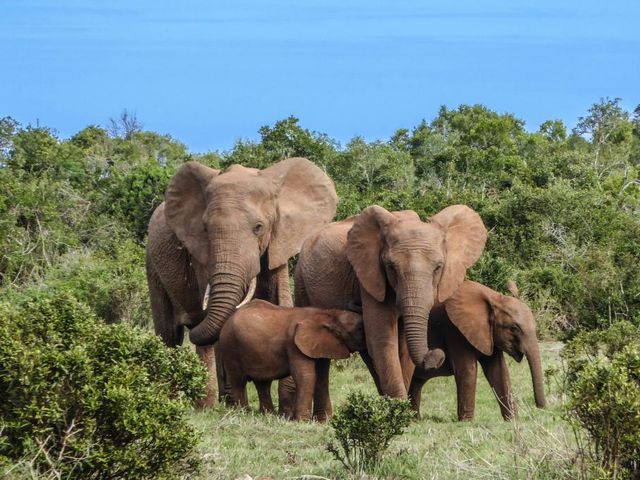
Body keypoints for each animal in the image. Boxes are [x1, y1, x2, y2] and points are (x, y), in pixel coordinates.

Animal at [144, 158, 336, 404]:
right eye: (205, 229)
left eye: (258, 228)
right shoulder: (202, 255)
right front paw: (233, 403)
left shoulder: (278, 243)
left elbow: (281, 301)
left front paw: (286, 405)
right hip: (152, 264)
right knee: (169, 334)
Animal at [218, 300, 364, 420]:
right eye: (359, 327)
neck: (328, 314)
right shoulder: (294, 345)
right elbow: (306, 377)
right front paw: (302, 421)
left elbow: (322, 377)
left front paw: (325, 421)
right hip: (230, 347)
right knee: (238, 382)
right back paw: (243, 414)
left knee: (262, 383)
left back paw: (267, 415)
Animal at [296, 204, 484, 400]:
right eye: (390, 267)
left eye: (438, 268)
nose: (436, 355)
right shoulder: (370, 277)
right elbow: (383, 339)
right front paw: (399, 405)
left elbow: (403, 349)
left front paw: (399, 406)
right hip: (301, 281)